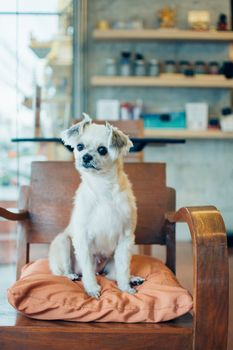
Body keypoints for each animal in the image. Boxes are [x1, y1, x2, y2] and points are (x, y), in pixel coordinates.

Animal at [49, 114, 144, 298]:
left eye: (102, 150)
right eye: (79, 146)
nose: (86, 156)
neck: (103, 188)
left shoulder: (125, 239)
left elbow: (123, 269)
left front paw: (125, 288)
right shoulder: (82, 239)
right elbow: (87, 269)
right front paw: (92, 288)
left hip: (112, 259)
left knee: (113, 274)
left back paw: (132, 278)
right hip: (63, 242)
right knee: (64, 272)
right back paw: (71, 275)